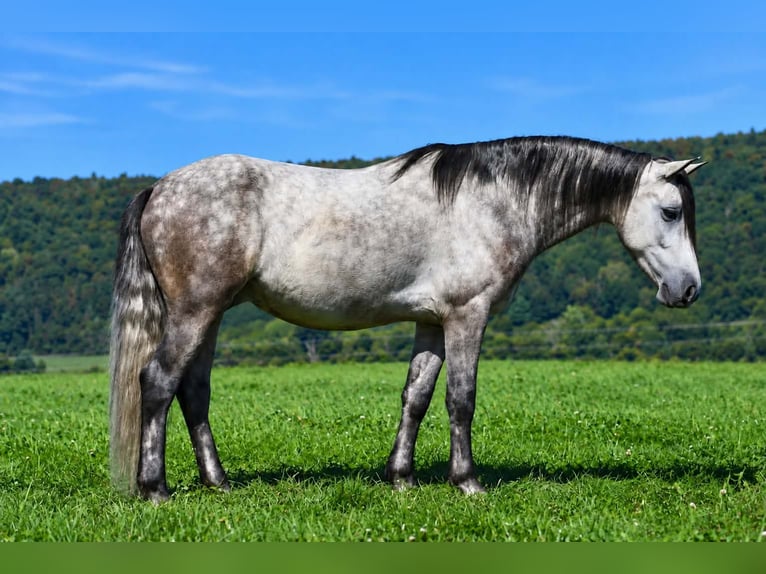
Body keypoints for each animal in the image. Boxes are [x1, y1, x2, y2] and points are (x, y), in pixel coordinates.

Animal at [109, 135, 705, 502]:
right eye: (671, 211)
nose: (688, 290)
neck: (492, 201)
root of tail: (160, 188)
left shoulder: (432, 323)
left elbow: (415, 396)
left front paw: (401, 479)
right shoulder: (467, 316)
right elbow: (461, 398)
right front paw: (467, 482)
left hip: (208, 317)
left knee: (194, 392)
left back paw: (219, 483)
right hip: (194, 312)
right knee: (157, 382)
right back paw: (155, 488)